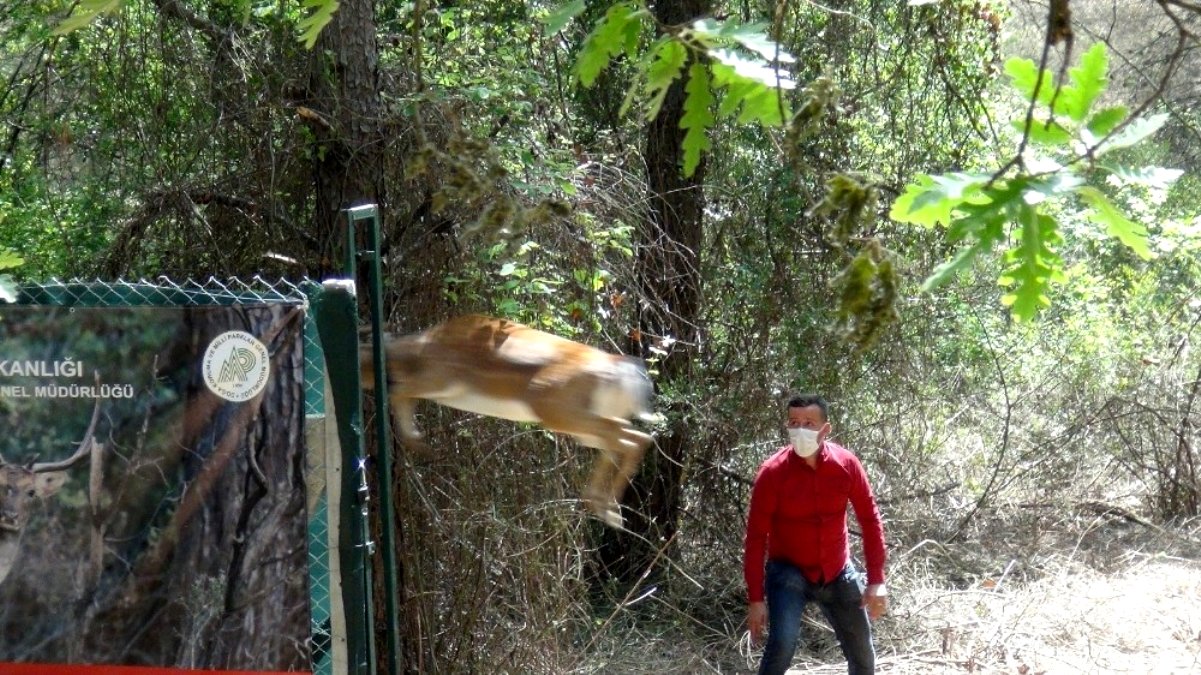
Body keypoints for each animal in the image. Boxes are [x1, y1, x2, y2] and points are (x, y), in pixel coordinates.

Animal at [360, 312, 653, 528]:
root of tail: (623, 372)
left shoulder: (440, 377)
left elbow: (398, 393)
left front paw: (418, 442)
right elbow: (401, 395)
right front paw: (419, 441)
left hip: (555, 407)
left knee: (633, 439)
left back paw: (607, 509)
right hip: (584, 421)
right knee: (629, 438)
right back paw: (606, 508)